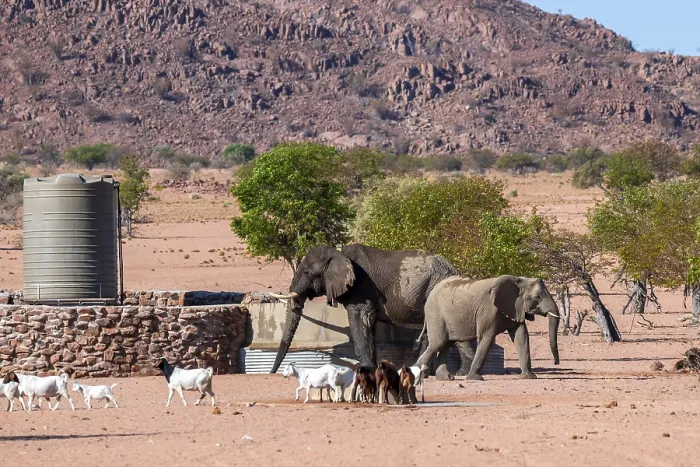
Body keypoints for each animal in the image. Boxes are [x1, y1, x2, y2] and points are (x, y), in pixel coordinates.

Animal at [268, 244, 472, 376]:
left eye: (307, 273)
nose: (272, 372)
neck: (338, 253)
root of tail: (455, 270)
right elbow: (369, 325)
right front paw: (373, 367)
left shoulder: (361, 288)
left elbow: (359, 318)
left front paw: (363, 368)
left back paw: (457, 373)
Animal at [415, 275, 560, 380]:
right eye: (537, 297)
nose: (556, 363)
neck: (520, 280)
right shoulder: (488, 310)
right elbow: (487, 337)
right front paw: (474, 378)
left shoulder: (515, 308)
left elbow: (521, 336)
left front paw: (529, 377)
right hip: (435, 314)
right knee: (438, 343)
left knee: (445, 344)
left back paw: (446, 378)